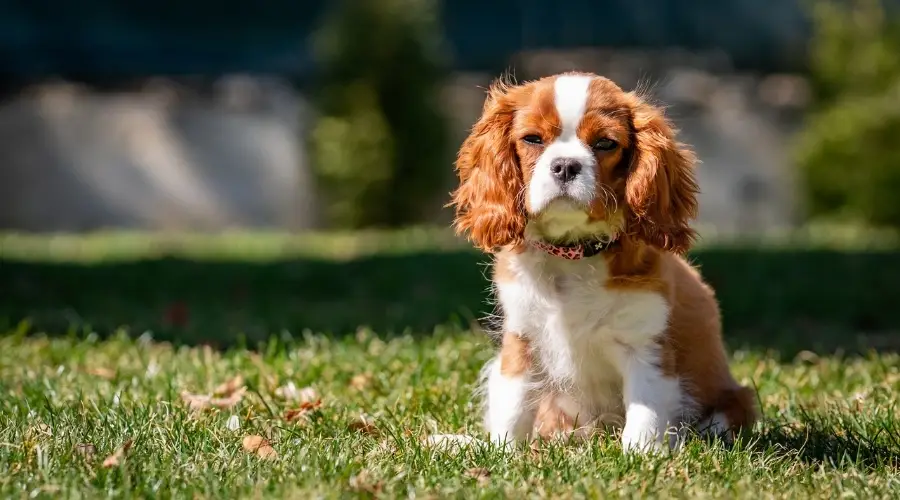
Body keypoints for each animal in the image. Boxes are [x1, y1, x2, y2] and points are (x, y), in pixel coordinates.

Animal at [448, 71, 752, 454]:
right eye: (532, 139)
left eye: (606, 143)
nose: (565, 165)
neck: (572, 253)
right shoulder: (522, 342)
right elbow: (512, 407)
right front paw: (500, 453)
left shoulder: (646, 348)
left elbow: (645, 413)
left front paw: (641, 456)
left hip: (735, 401)